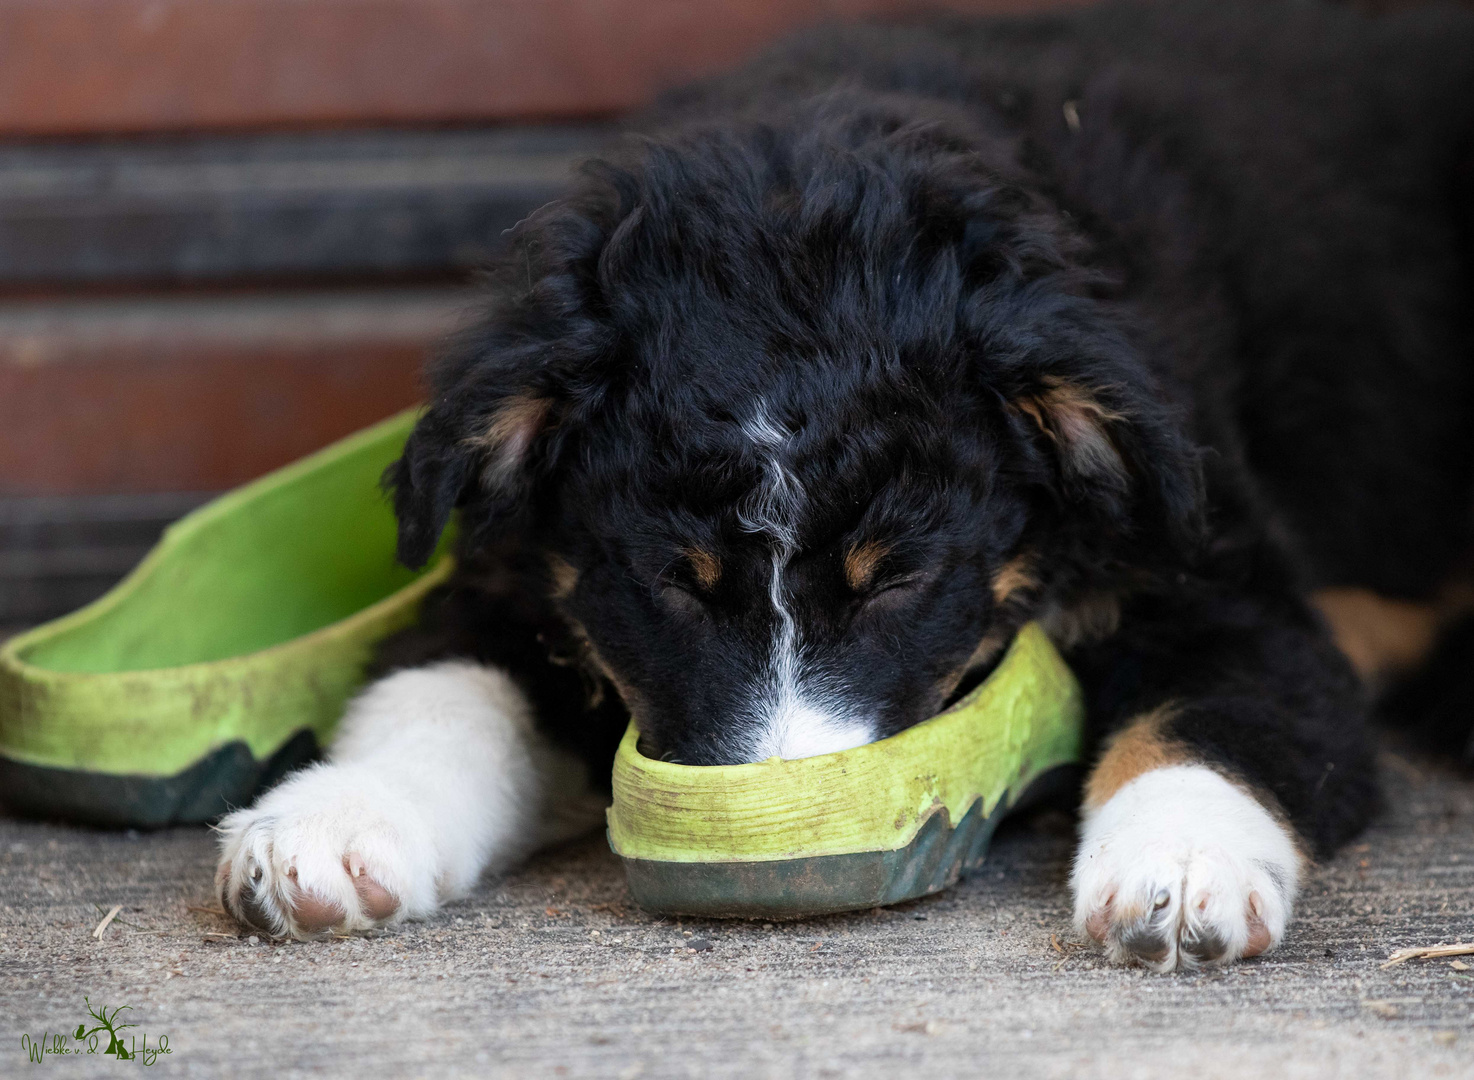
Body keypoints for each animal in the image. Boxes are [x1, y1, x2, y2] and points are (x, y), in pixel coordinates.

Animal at [215, 0, 1474, 966]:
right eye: (672, 583)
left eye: (896, 581)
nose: (771, 834)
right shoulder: (521, 579)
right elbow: (439, 694)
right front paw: (330, 828)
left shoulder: (1210, 575)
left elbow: (1210, 720)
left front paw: (1175, 869)